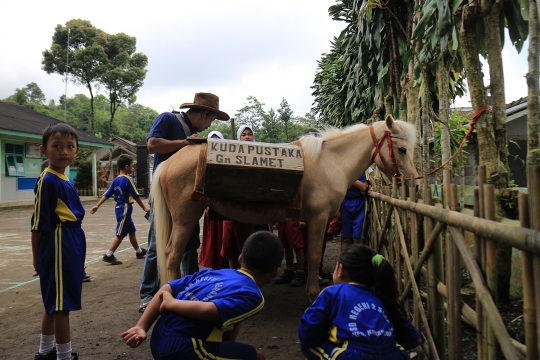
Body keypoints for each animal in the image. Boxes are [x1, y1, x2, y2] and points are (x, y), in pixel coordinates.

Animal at [150, 115, 420, 300]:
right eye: (402, 149)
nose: (414, 182)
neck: (329, 162)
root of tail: (170, 162)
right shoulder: (318, 219)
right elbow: (313, 256)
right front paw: (313, 294)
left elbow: (313, 256)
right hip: (185, 218)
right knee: (171, 255)